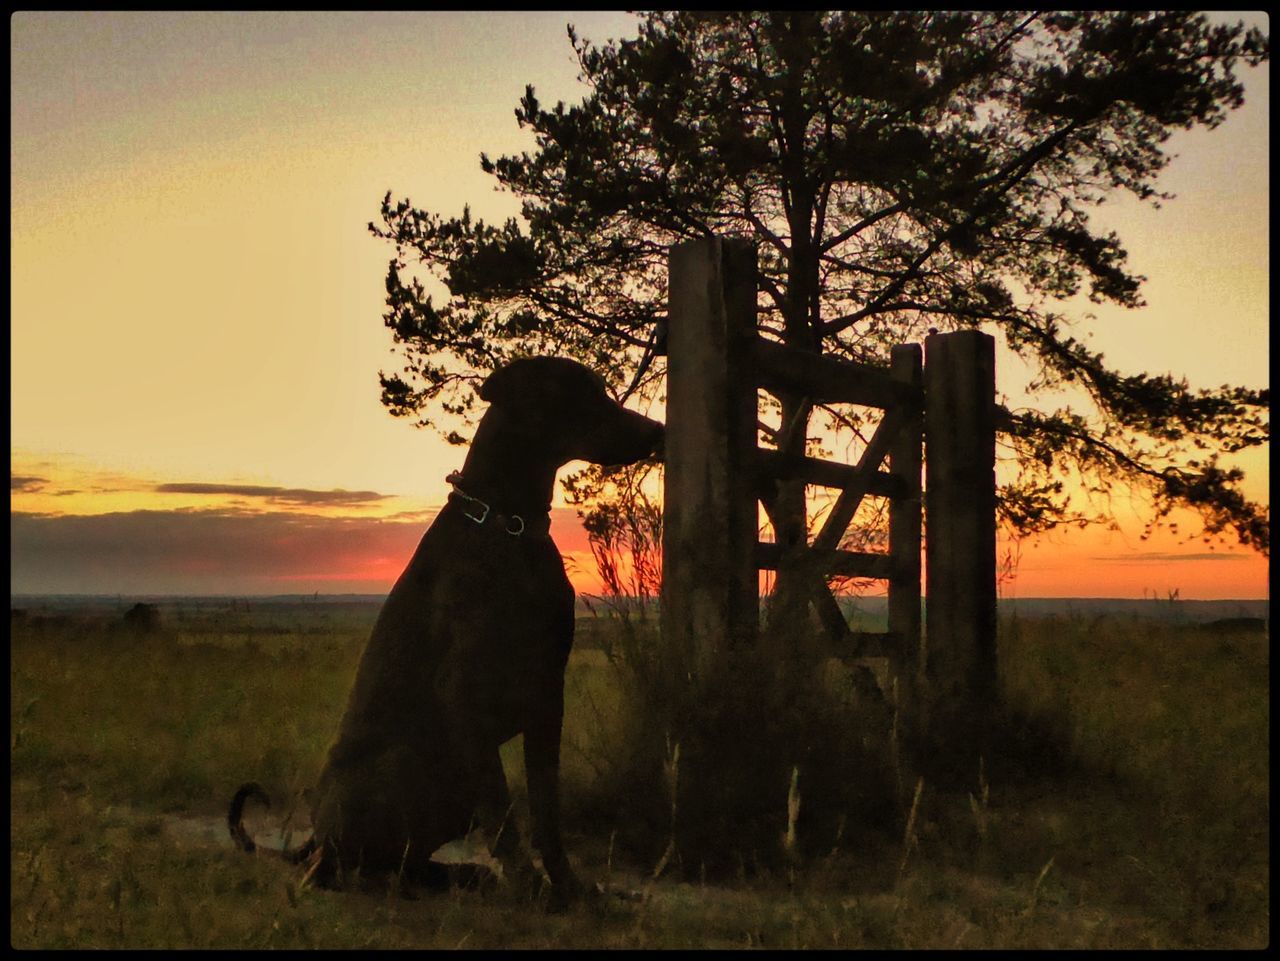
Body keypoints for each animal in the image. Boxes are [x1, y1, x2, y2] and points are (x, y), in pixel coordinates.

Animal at [231, 358, 665, 911]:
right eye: (582, 393)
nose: (657, 432)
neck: (510, 526)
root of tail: (314, 834)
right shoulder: (467, 696)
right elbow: (504, 815)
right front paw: (533, 891)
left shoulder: (548, 693)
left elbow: (546, 810)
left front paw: (573, 889)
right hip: (405, 765)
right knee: (336, 867)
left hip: (452, 789)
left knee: (406, 856)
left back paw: (462, 878)